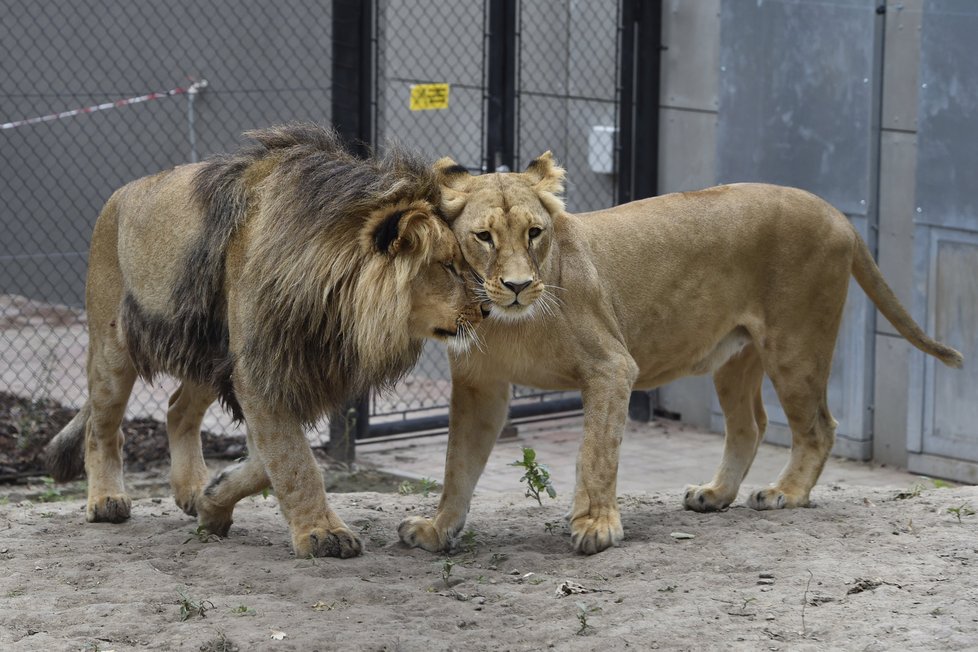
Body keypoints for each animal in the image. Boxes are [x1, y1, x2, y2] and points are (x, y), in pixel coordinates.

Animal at [45, 125, 480, 556]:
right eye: (447, 266)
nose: (484, 309)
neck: (334, 304)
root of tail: (118, 195)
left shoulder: (274, 367)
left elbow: (268, 459)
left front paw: (213, 497)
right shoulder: (258, 368)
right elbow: (293, 459)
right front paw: (322, 534)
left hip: (210, 355)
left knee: (176, 409)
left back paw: (190, 489)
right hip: (112, 348)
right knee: (102, 427)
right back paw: (106, 500)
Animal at [396, 153, 960, 556]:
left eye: (534, 233)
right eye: (484, 237)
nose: (517, 286)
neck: (505, 322)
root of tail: (838, 214)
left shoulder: (611, 367)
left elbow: (595, 452)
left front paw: (597, 526)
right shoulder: (479, 385)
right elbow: (458, 463)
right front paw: (437, 528)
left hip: (797, 344)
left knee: (818, 426)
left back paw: (786, 493)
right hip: (737, 358)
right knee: (750, 426)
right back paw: (714, 494)